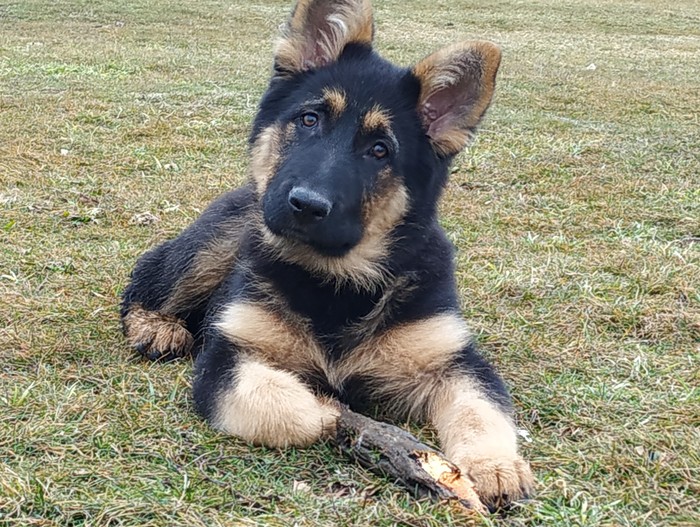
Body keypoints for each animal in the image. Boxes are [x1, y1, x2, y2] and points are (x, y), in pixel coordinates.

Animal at [121, 0, 536, 512]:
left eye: (380, 150)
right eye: (309, 120)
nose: (306, 204)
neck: (336, 281)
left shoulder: (455, 360)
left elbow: (483, 406)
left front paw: (496, 466)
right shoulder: (227, 359)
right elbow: (288, 406)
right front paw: (341, 417)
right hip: (218, 241)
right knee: (146, 275)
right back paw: (156, 327)